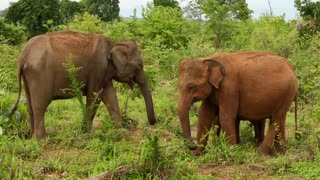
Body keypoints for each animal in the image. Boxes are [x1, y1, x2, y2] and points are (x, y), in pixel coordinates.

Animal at [11, 31, 157, 140]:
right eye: (139, 66)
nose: (153, 123)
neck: (115, 43)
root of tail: (23, 55)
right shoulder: (98, 68)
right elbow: (94, 97)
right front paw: (88, 133)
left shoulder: (104, 73)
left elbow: (109, 96)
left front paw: (120, 134)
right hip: (40, 75)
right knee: (40, 105)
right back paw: (42, 139)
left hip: (28, 76)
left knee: (30, 105)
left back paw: (32, 137)